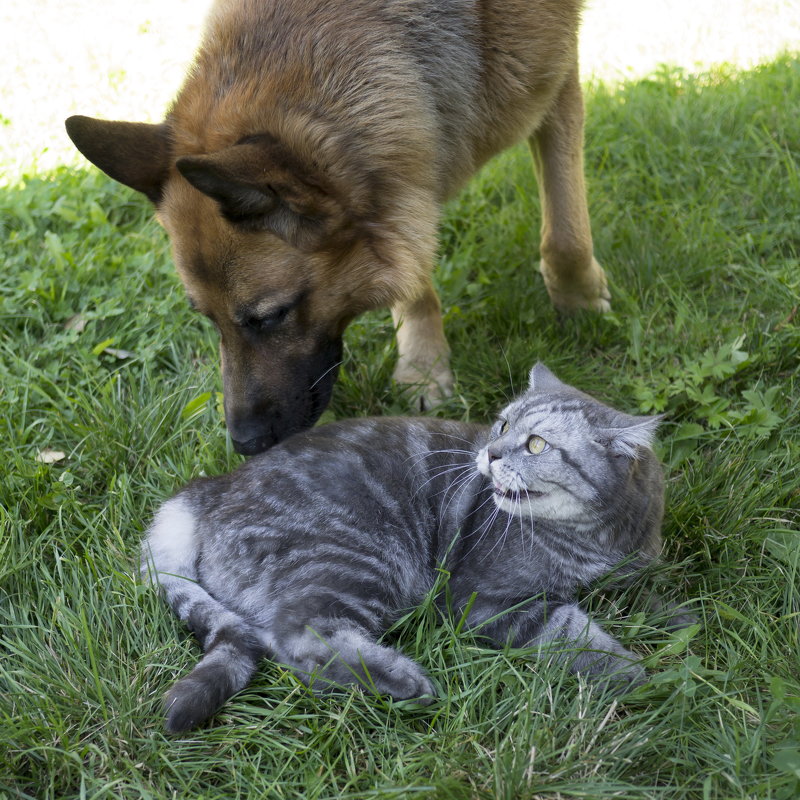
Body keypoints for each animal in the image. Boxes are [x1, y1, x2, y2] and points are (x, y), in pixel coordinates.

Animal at [69, 0, 608, 456]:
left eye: (271, 316)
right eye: (207, 319)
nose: (243, 445)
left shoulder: (558, 77)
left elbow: (565, 231)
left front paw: (579, 302)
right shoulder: (401, 193)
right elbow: (413, 277)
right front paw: (423, 369)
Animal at [142, 362, 668, 732]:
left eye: (536, 445)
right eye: (501, 427)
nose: (490, 453)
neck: (598, 537)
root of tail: (210, 489)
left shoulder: (640, 573)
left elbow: (662, 604)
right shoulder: (485, 600)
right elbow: (576, 635)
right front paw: (636, 676)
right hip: (363, 558)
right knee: (298, 638)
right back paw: (405, 681)